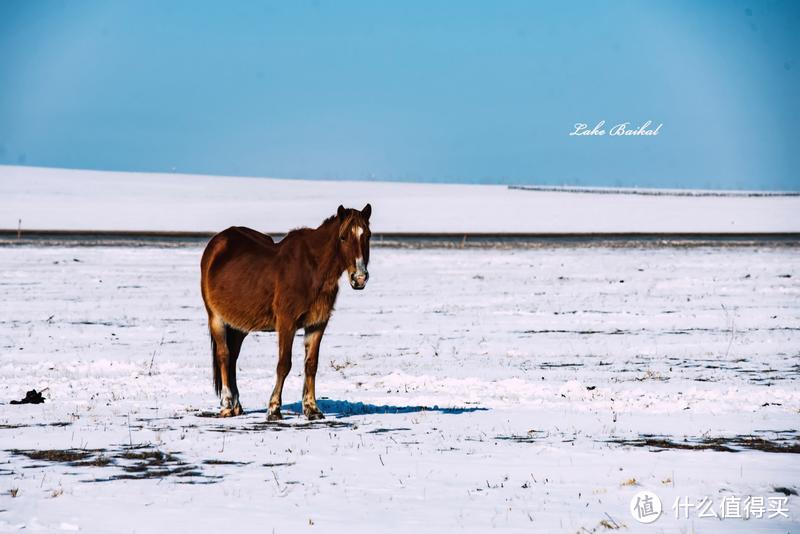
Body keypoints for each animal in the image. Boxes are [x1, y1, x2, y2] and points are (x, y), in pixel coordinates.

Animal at [202, 207, 374, 420]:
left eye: (367, 235)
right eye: (343, 237)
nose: (360, 278)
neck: (312, 269)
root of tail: (217, 243)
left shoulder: (317, 324)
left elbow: (311, 365)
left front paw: (312, 408)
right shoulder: (287, 323)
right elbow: (284, 364)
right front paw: (274, 408)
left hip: (239, 325)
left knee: (233, 357)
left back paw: (237, 406)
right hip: (215, 317)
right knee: (224, 355)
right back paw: (226, 405)